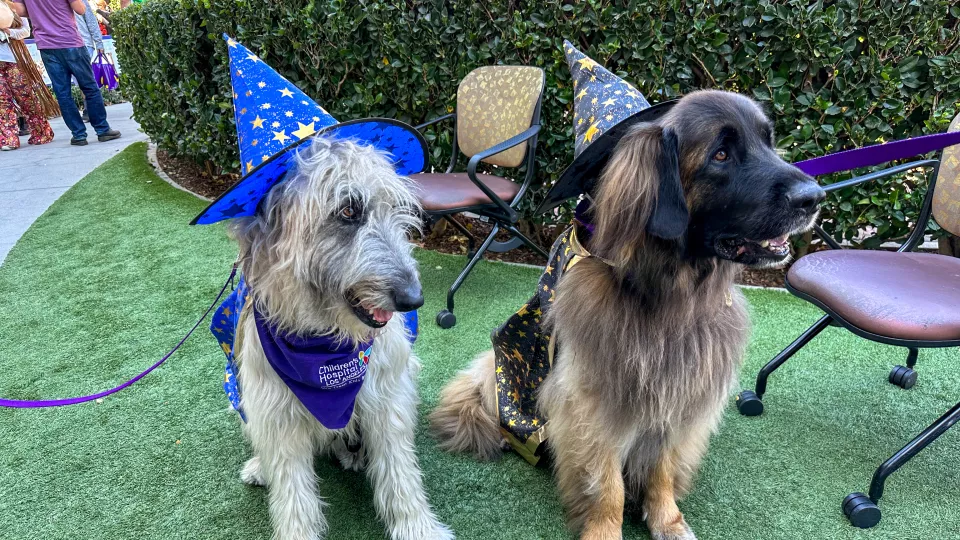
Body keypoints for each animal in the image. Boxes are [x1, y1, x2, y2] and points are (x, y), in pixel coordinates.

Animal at [428, 90, 824, 536]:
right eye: (720, 154)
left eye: (768, 142)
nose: (815, 197)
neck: (668, 295)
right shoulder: (594, 404)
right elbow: (607, 483)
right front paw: (604, 529)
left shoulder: (675, 395)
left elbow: (661, 467)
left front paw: (667, 519)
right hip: (495, 377)